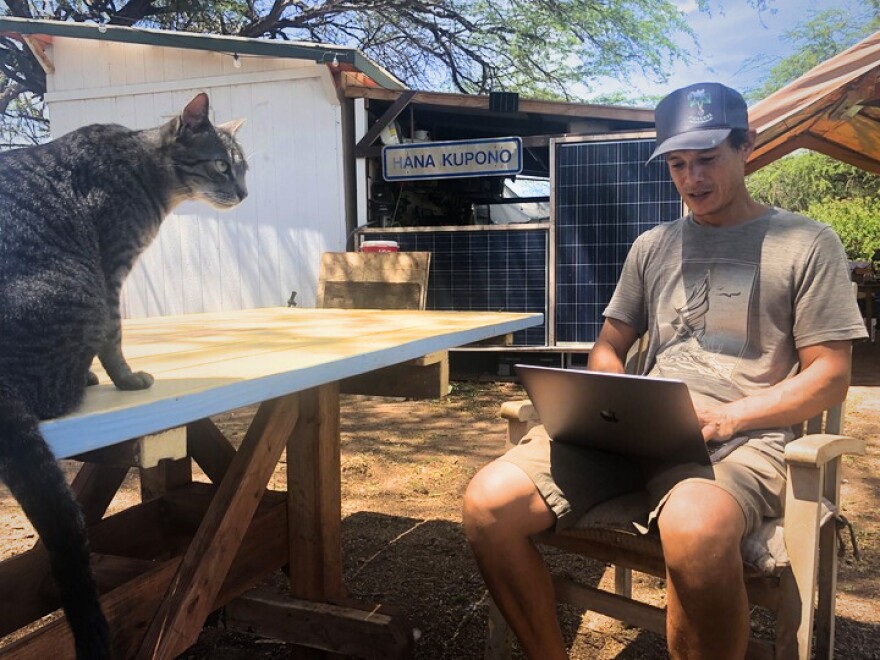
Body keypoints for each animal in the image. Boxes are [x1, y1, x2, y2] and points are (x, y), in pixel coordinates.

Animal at [0, 94, 248, 660]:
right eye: (222, 166)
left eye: (243, 168)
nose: (246, 193)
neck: (148, 168)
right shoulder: (112, 269)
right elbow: (114, 339)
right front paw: (125, 377)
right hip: (83, 285)